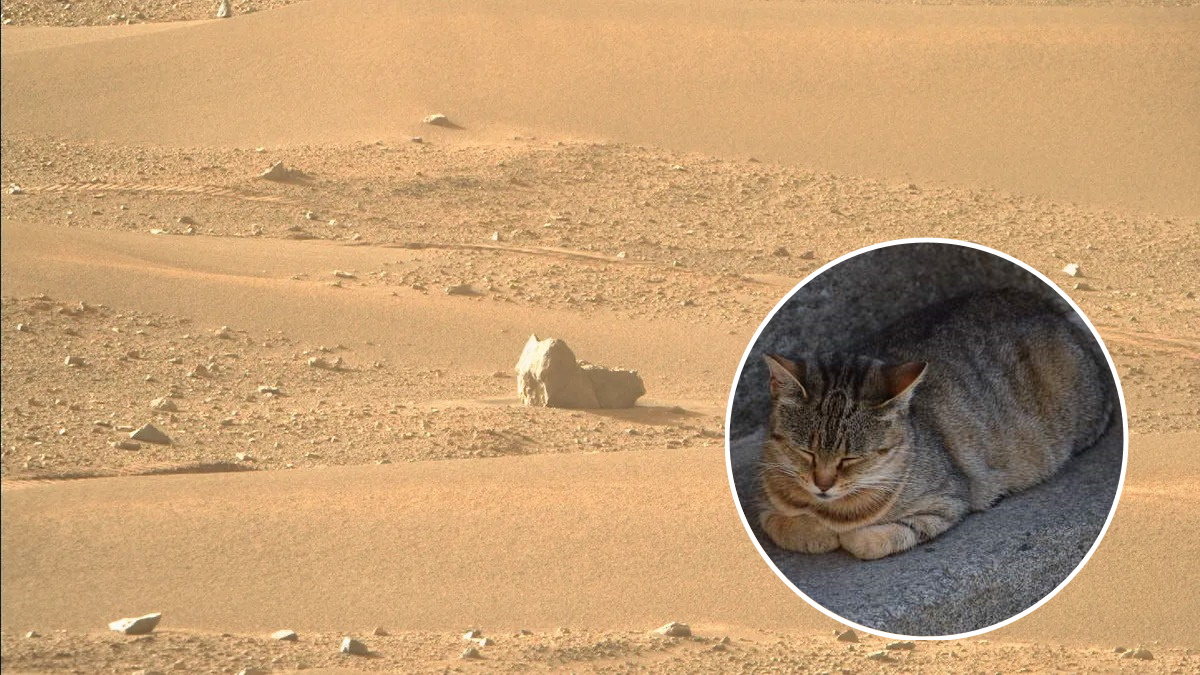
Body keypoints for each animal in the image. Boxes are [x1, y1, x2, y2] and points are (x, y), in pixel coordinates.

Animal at [758, 288, 1113, 557]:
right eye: (804, 452)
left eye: (852, 458)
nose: (823, 484)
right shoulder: (765, 500)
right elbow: (779, 524)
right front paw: (815, 531)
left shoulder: (949, 500)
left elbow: (876, 539)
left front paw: (846, 535)